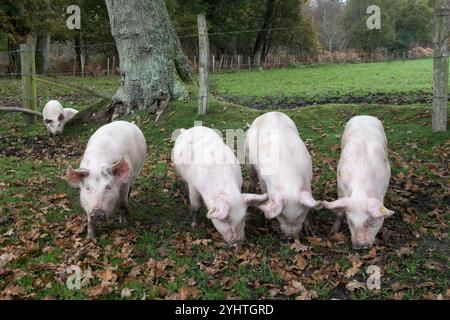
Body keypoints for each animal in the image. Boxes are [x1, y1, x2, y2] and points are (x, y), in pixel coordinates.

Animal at [244, 111, 322, 239]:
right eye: (282, 216)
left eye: (300, 215)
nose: (291, 237)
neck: (289, 179)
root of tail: (269, 113)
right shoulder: (263, 179)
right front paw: (275, 229)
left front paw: (310, 232)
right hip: (248, 157)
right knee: (252, 178)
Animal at [324, 115, 394, 250]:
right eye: (350, 222)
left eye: (371, 222)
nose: (361, 247)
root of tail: (365, 115)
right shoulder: (340, 186)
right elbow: (339, 211)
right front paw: (332, 232)